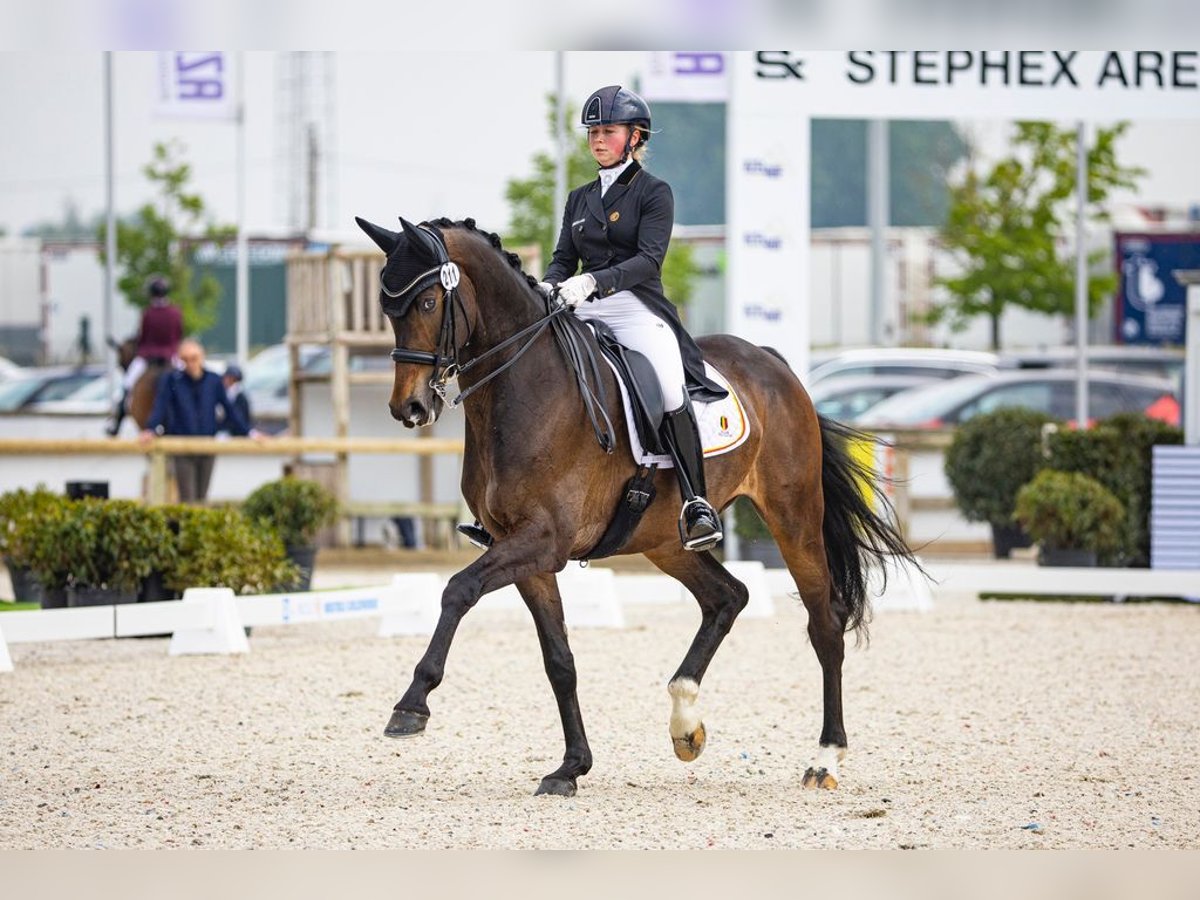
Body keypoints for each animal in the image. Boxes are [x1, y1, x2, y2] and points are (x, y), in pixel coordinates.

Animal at [355, 214, 916, 801]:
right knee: (728, 597)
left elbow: (457, 590)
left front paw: (411, 706)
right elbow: (559, 660)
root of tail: (774, 362)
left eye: (425, 303)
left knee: (823, 621)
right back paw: (685, 723)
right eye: (386, 307)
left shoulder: (541, 541)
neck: (523, 388)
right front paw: (570, 767)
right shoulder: (525, 552)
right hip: (666, 540)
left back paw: (825, 758)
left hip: (793, 515)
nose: (408, 407)